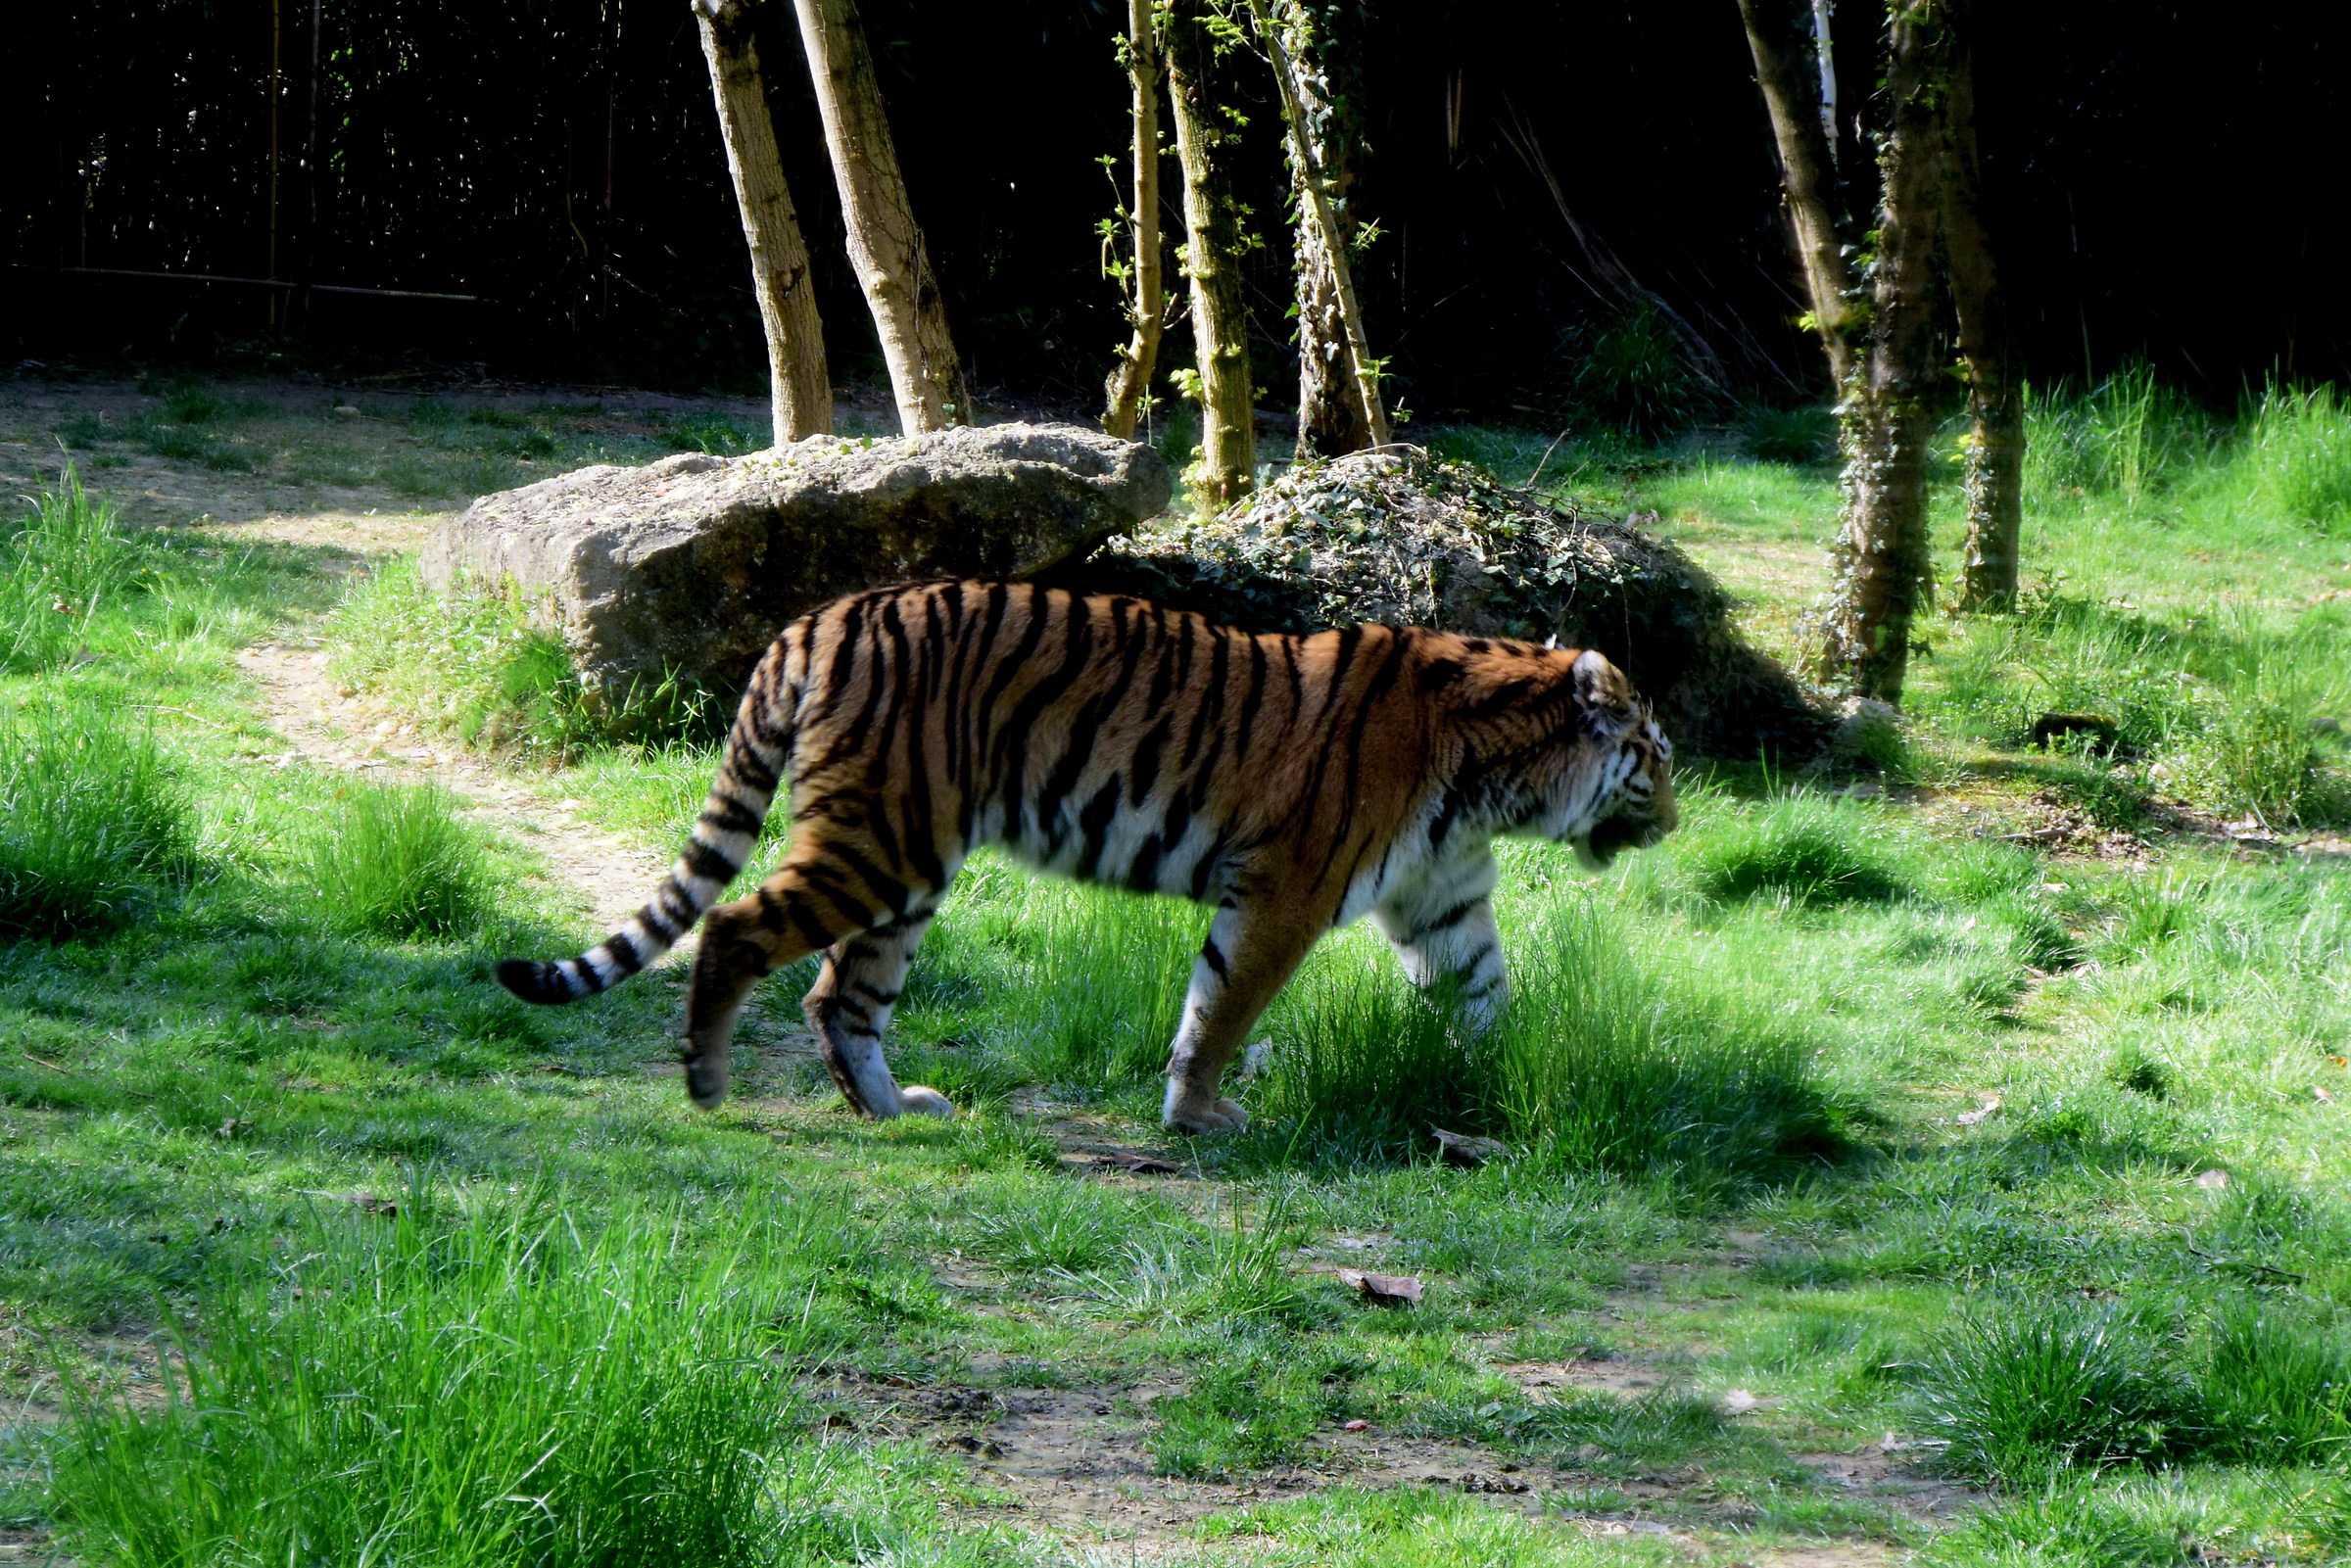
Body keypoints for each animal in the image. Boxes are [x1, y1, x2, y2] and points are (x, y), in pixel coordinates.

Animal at [496, 578, 1678, 1134]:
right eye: (1655, 758)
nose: (1674, 821)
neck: (1491, 779)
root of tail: (821, 615)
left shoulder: (1442, 894)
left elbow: (1483, 990)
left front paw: (1497, 1083)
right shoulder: (1286, 892)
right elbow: (1223, 1007)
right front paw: (1199, 1115)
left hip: (908, 860)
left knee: (839, 993)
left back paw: (895, 1109)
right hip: (878, 841)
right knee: (738, 929)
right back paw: (706, 1080)